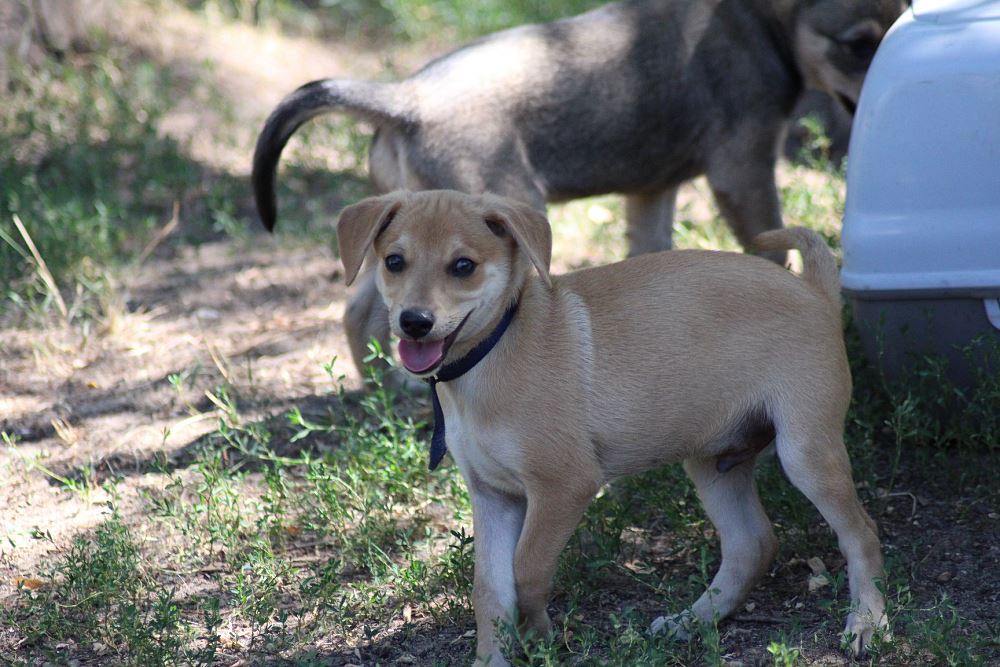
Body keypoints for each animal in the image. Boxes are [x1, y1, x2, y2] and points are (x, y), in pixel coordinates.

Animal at [253, 0, 904, 375]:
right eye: (856, 42)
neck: (760, 23)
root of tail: (403, 99)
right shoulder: (742, 169)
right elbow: (771, 247)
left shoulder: (652, 192)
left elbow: (652, 251)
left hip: (393, 239)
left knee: (365, 314)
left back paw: (381, 393)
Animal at [335, 189, 887, 666]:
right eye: (394, 262)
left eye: (463, 267)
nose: (414, 322)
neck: (493, 351)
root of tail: (815, 291)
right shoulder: (494, 495)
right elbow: (490, 590)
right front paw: (494, 658)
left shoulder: (563, 486)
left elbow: (527, 571)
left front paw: (537, 637)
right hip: (714, 462)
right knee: (752, 544)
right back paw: (692, 621)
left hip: (806, 450)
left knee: (860, 532)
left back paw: (867, 623)